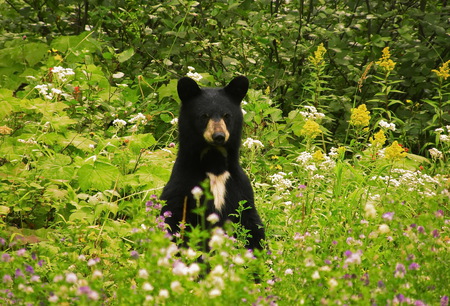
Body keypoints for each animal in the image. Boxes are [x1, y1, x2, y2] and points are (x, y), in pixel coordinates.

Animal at [161, 76, 264, 251]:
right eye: (204, 115)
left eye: (226, 115)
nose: (219, 136)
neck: (215, 163)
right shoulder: (183, 184)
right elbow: (171, 217)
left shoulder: (240, 188)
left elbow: (252, 226)